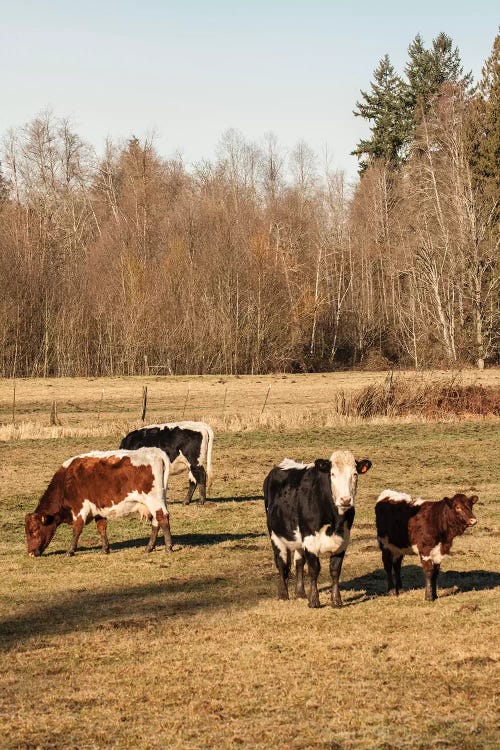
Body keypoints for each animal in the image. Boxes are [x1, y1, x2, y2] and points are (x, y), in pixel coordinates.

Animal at [24, 446, 173, 560]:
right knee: (156, 522)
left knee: (162, 518)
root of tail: (155, 451)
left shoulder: (79, 509)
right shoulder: (98, 510)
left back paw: (168, 547)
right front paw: (105, 549)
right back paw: (149, 547)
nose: (30, 553)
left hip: (154, 500)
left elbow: (76, 530)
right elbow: (101, 528)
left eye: (34, 530)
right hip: (156, 502)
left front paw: (70, 551)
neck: (66, 481)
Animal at [264, 452, 370, 612]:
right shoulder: (310, 539)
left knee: (299, 563)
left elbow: (335, 570)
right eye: (332, 474)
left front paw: (336, 600)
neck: (335, 520)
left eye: (355, 474)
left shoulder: (343, 540)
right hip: (275, 534)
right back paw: (283, 595)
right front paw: (314, 601)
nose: (345, 500)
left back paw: (300, 593)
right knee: (281, 563)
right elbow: (314, 569)